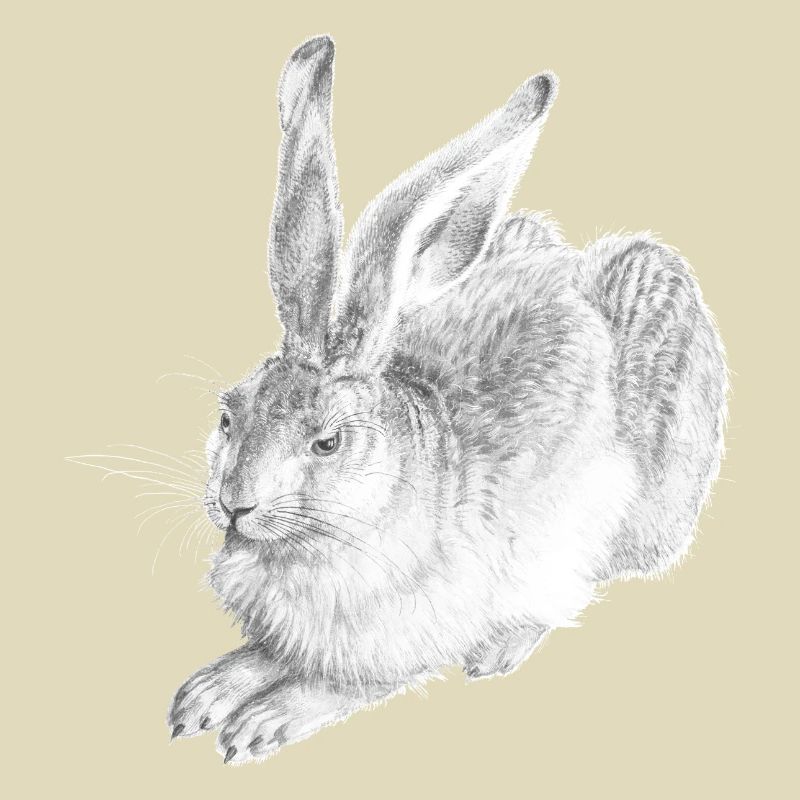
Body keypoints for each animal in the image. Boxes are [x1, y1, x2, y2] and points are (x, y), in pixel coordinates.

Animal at [167, 34, 727, 764]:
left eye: (328, 442)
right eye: (228, 416)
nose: (236, 505)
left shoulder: (411, 633)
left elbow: (342, 682)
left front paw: (264, 718)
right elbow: (267, 653)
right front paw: (208, 692)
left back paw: (502, 647)